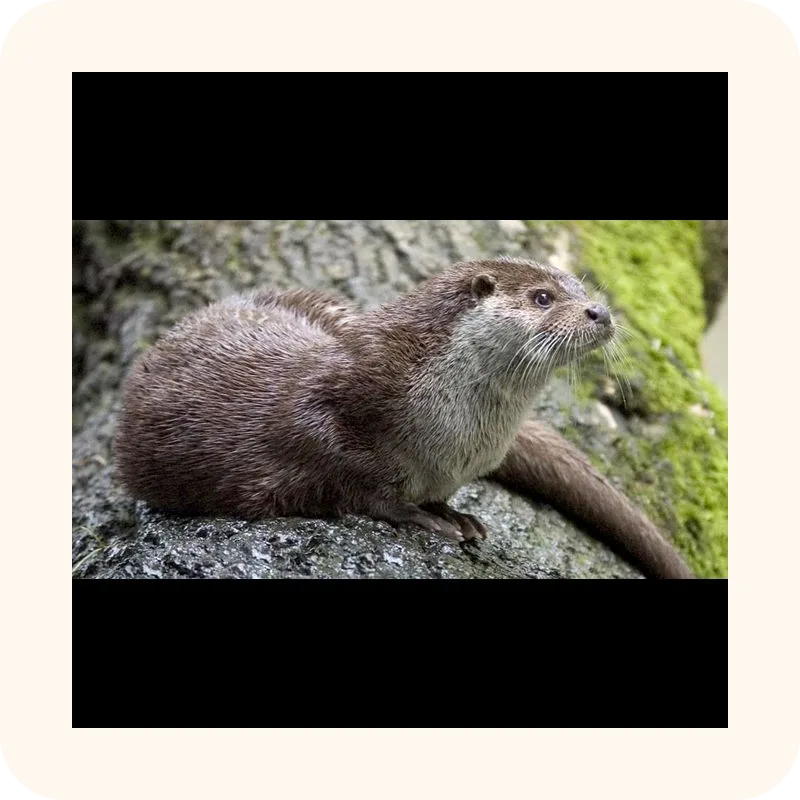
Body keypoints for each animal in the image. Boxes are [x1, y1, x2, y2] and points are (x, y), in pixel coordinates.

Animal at [115, 257, 695, 580]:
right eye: (542, 297)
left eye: (581, 288)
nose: (601, 311)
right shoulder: (332, 412)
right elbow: (353, 482)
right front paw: (422, 517)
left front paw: (453, 512)